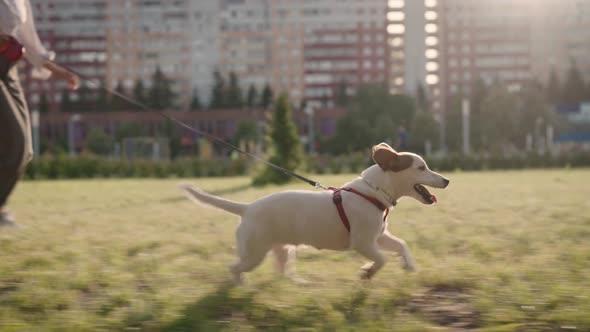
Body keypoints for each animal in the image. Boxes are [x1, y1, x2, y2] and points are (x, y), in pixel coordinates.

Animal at [180, 143, 448, 282]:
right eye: (421, 167)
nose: (446, 180)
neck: (374, 192)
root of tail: (247, 209)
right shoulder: (363, 242)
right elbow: (381, 259)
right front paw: (367, 272)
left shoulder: (379, 237)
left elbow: (402, 245)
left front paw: (409, 266)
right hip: (253, 253)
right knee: (234, 268)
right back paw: (240, 286)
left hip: (282, 249)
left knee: (282, 274)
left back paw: (295, 285)